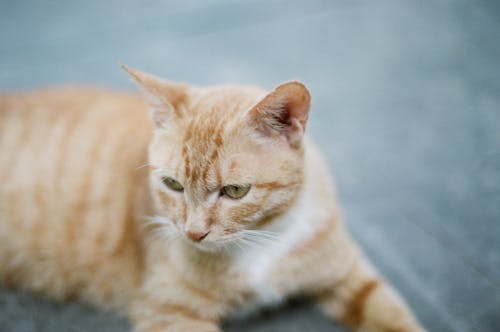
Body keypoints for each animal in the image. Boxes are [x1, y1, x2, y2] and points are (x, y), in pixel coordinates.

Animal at [0, 65, 426, 332]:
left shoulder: (348, 274)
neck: (266, 241)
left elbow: (394, 316)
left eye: (235, 191)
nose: (193, 234)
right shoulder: (171, 310)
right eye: (172, 184)